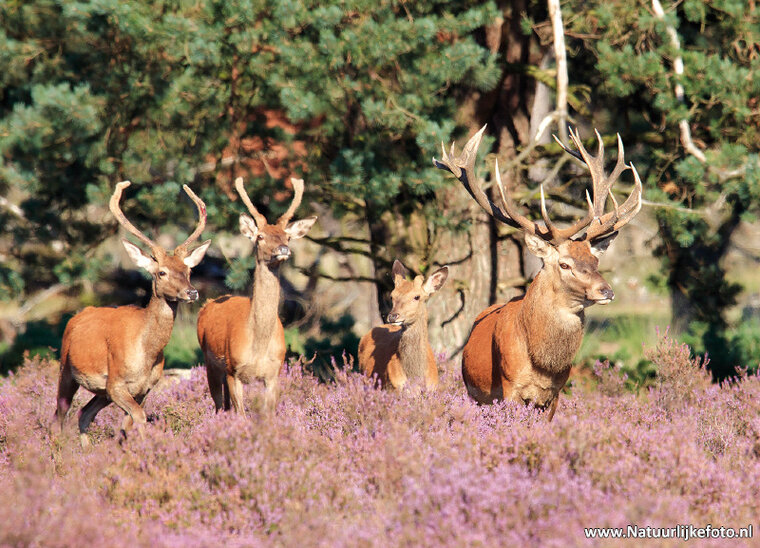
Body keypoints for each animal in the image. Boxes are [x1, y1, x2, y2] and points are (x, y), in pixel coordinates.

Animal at [54, 181, 210, 445]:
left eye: (188, 270)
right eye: (161, 272)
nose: (192, 292)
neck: (146, 354)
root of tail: (76, 316)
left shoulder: (145, 388)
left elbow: (129, 423)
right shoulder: (116, 382)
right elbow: (139, 418)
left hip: (101, 392)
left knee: (83, 414)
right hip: (67, 370)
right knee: (59, 414)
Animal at [196, 177, 317, 415]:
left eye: (288, 236)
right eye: (260, 236)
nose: (283, 249)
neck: (258, 346)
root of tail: (207, 304)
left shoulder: (274, 372)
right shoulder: (234, 370)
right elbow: (241, 415)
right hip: (210, 362)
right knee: (218, 404)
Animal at [433, 125, 642, 420]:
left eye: (594, 260)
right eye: (564, 264)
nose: (606, 290)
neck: (542, 366)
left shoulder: (554, 395)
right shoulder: (509, 388)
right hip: (475, 394)